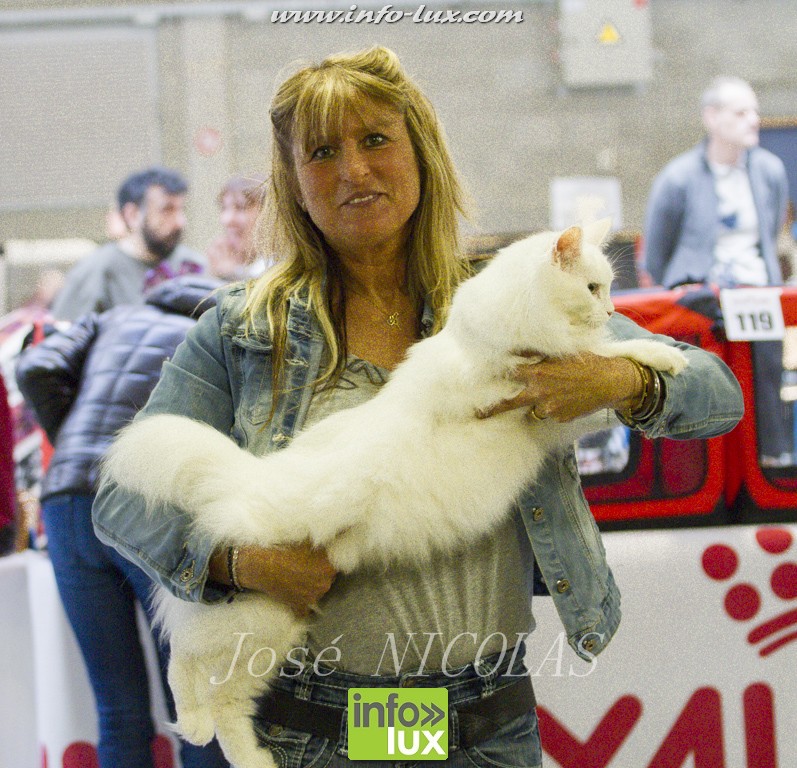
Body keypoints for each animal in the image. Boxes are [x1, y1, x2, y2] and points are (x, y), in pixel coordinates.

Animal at [101, 218, 684, 768]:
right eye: (592, 287)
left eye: (608, 288)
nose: (610, 309)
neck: (502, 330)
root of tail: (247, 478)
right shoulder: (512, 396)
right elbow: (584, 361)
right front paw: (648, 352)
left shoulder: (556, 417)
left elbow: (604, 373)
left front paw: (655, 361)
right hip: (253, 618)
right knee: (186, 661)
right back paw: (205, 731)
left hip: (267, 633)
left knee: (218, 696)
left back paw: (235, 749)